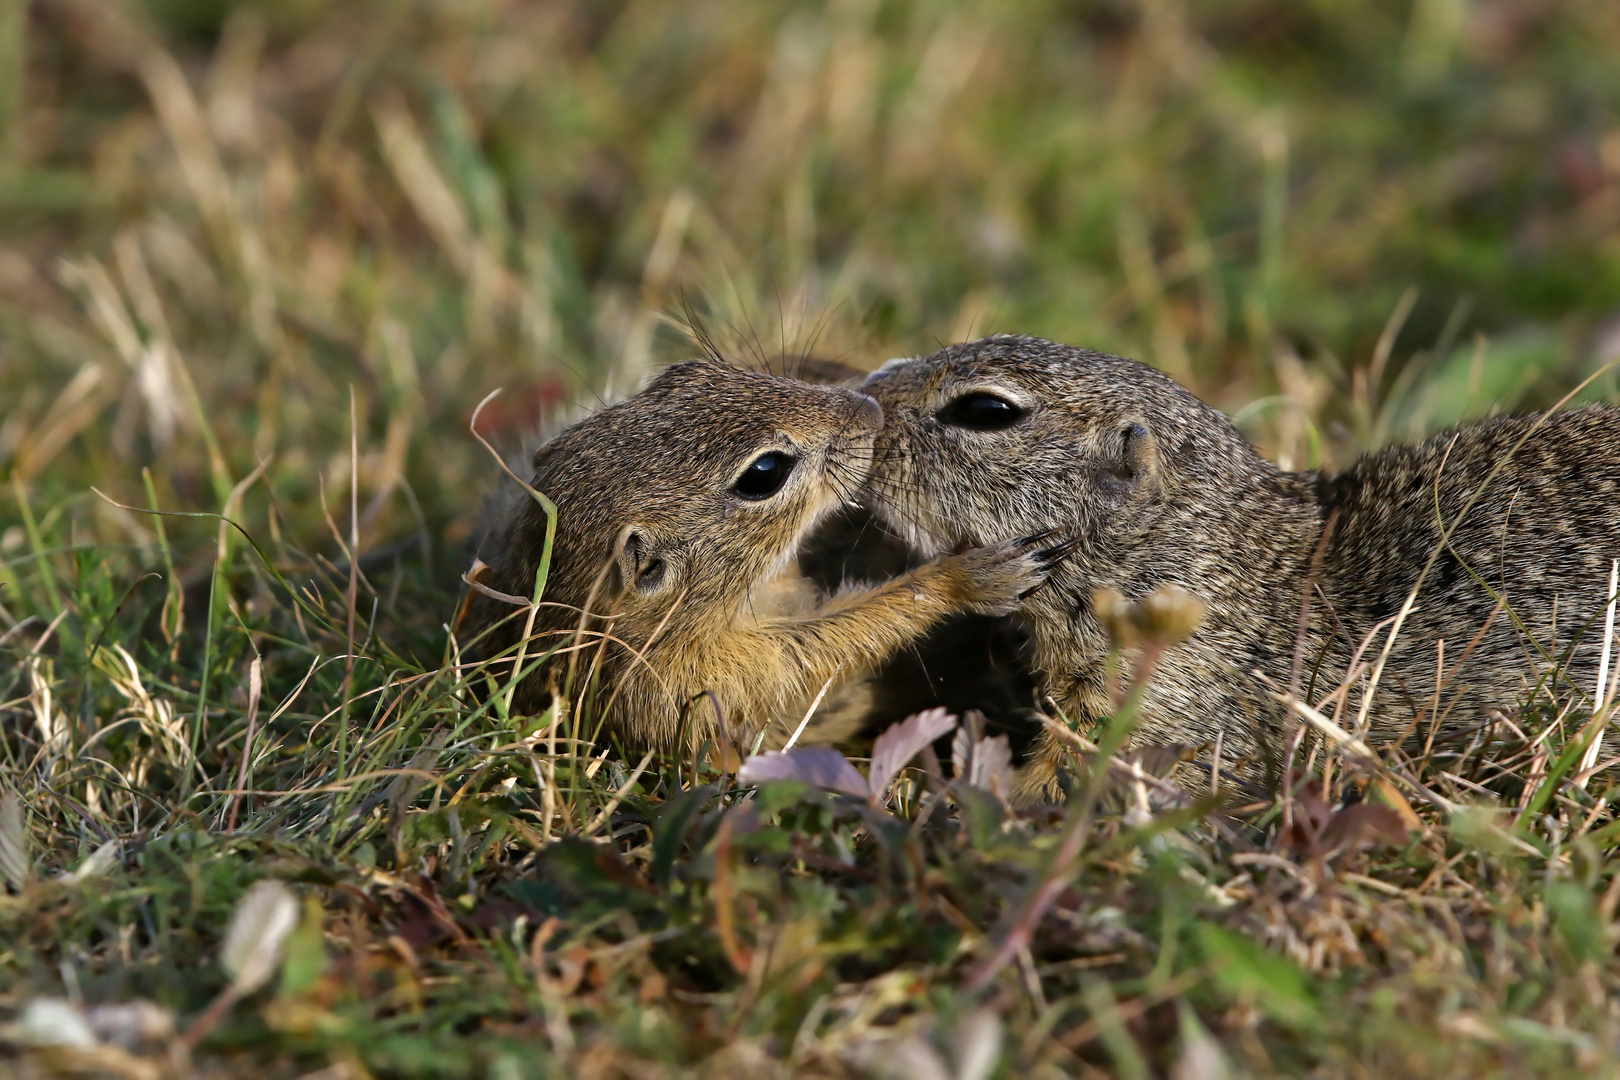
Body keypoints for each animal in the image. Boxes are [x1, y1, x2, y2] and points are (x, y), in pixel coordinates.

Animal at [456, 359, 1069, 757]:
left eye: (685, 372)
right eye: (764, 474)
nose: (868, 406)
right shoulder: (716, 676)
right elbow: (840, 639)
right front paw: (968, 578)